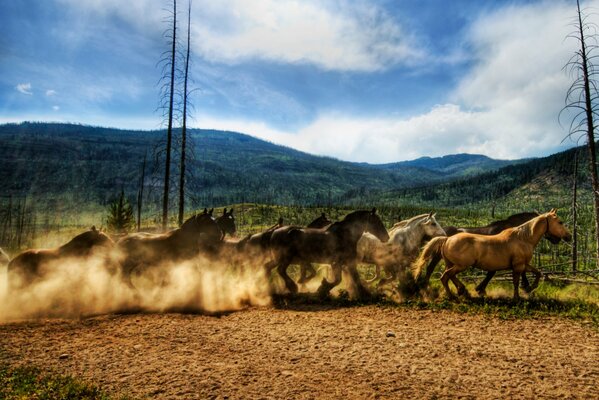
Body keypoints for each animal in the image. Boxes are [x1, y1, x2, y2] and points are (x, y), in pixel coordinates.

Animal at [412, 209, 572, 300]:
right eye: (560, 222)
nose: (569, 237)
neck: (522, 237)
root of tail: (446, 238)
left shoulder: (523, 264)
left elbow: (538, 273)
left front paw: (528, 288)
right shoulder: (518, 265)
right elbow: (514, 280)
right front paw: (518, 295)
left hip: (452, 264)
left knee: (448, 275)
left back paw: (461, 291)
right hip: (460, 265)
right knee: (442, 275)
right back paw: (451, 294)